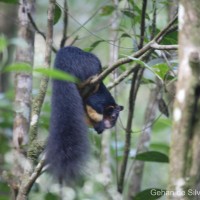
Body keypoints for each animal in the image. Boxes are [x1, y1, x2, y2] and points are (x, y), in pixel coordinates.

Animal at [45, 46, 123, 182]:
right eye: (113, 117)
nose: (109, 125)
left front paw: (97, 127)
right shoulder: (97, 101)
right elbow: (94, 110)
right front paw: (99, 124)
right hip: (88, 66)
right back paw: (91, 80)